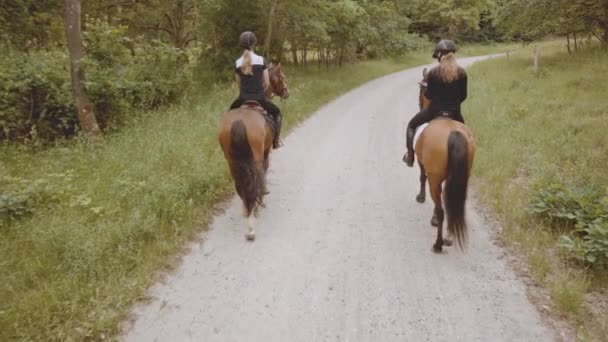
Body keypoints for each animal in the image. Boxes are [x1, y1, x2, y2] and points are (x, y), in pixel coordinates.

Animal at [218, 63, 290, 240]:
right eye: (282, 77)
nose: (287, 92)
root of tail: (239, 121)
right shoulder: (266, 151)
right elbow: (265, 168)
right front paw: (265, 191)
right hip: (254, 158)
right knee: (255, 178)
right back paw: (254, 215)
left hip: (231, 161)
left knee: (239, 182)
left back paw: (246, 209)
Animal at [414, 68, 476, 252]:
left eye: (421, 92)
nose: (419, 104)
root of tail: (454, 133)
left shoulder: (423, 165)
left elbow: (422, 178)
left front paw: (421, 198)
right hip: (462, 176)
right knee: (454, 203)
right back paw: (449, 236)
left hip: (435, 178)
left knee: (442, 209)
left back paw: (438, 244)